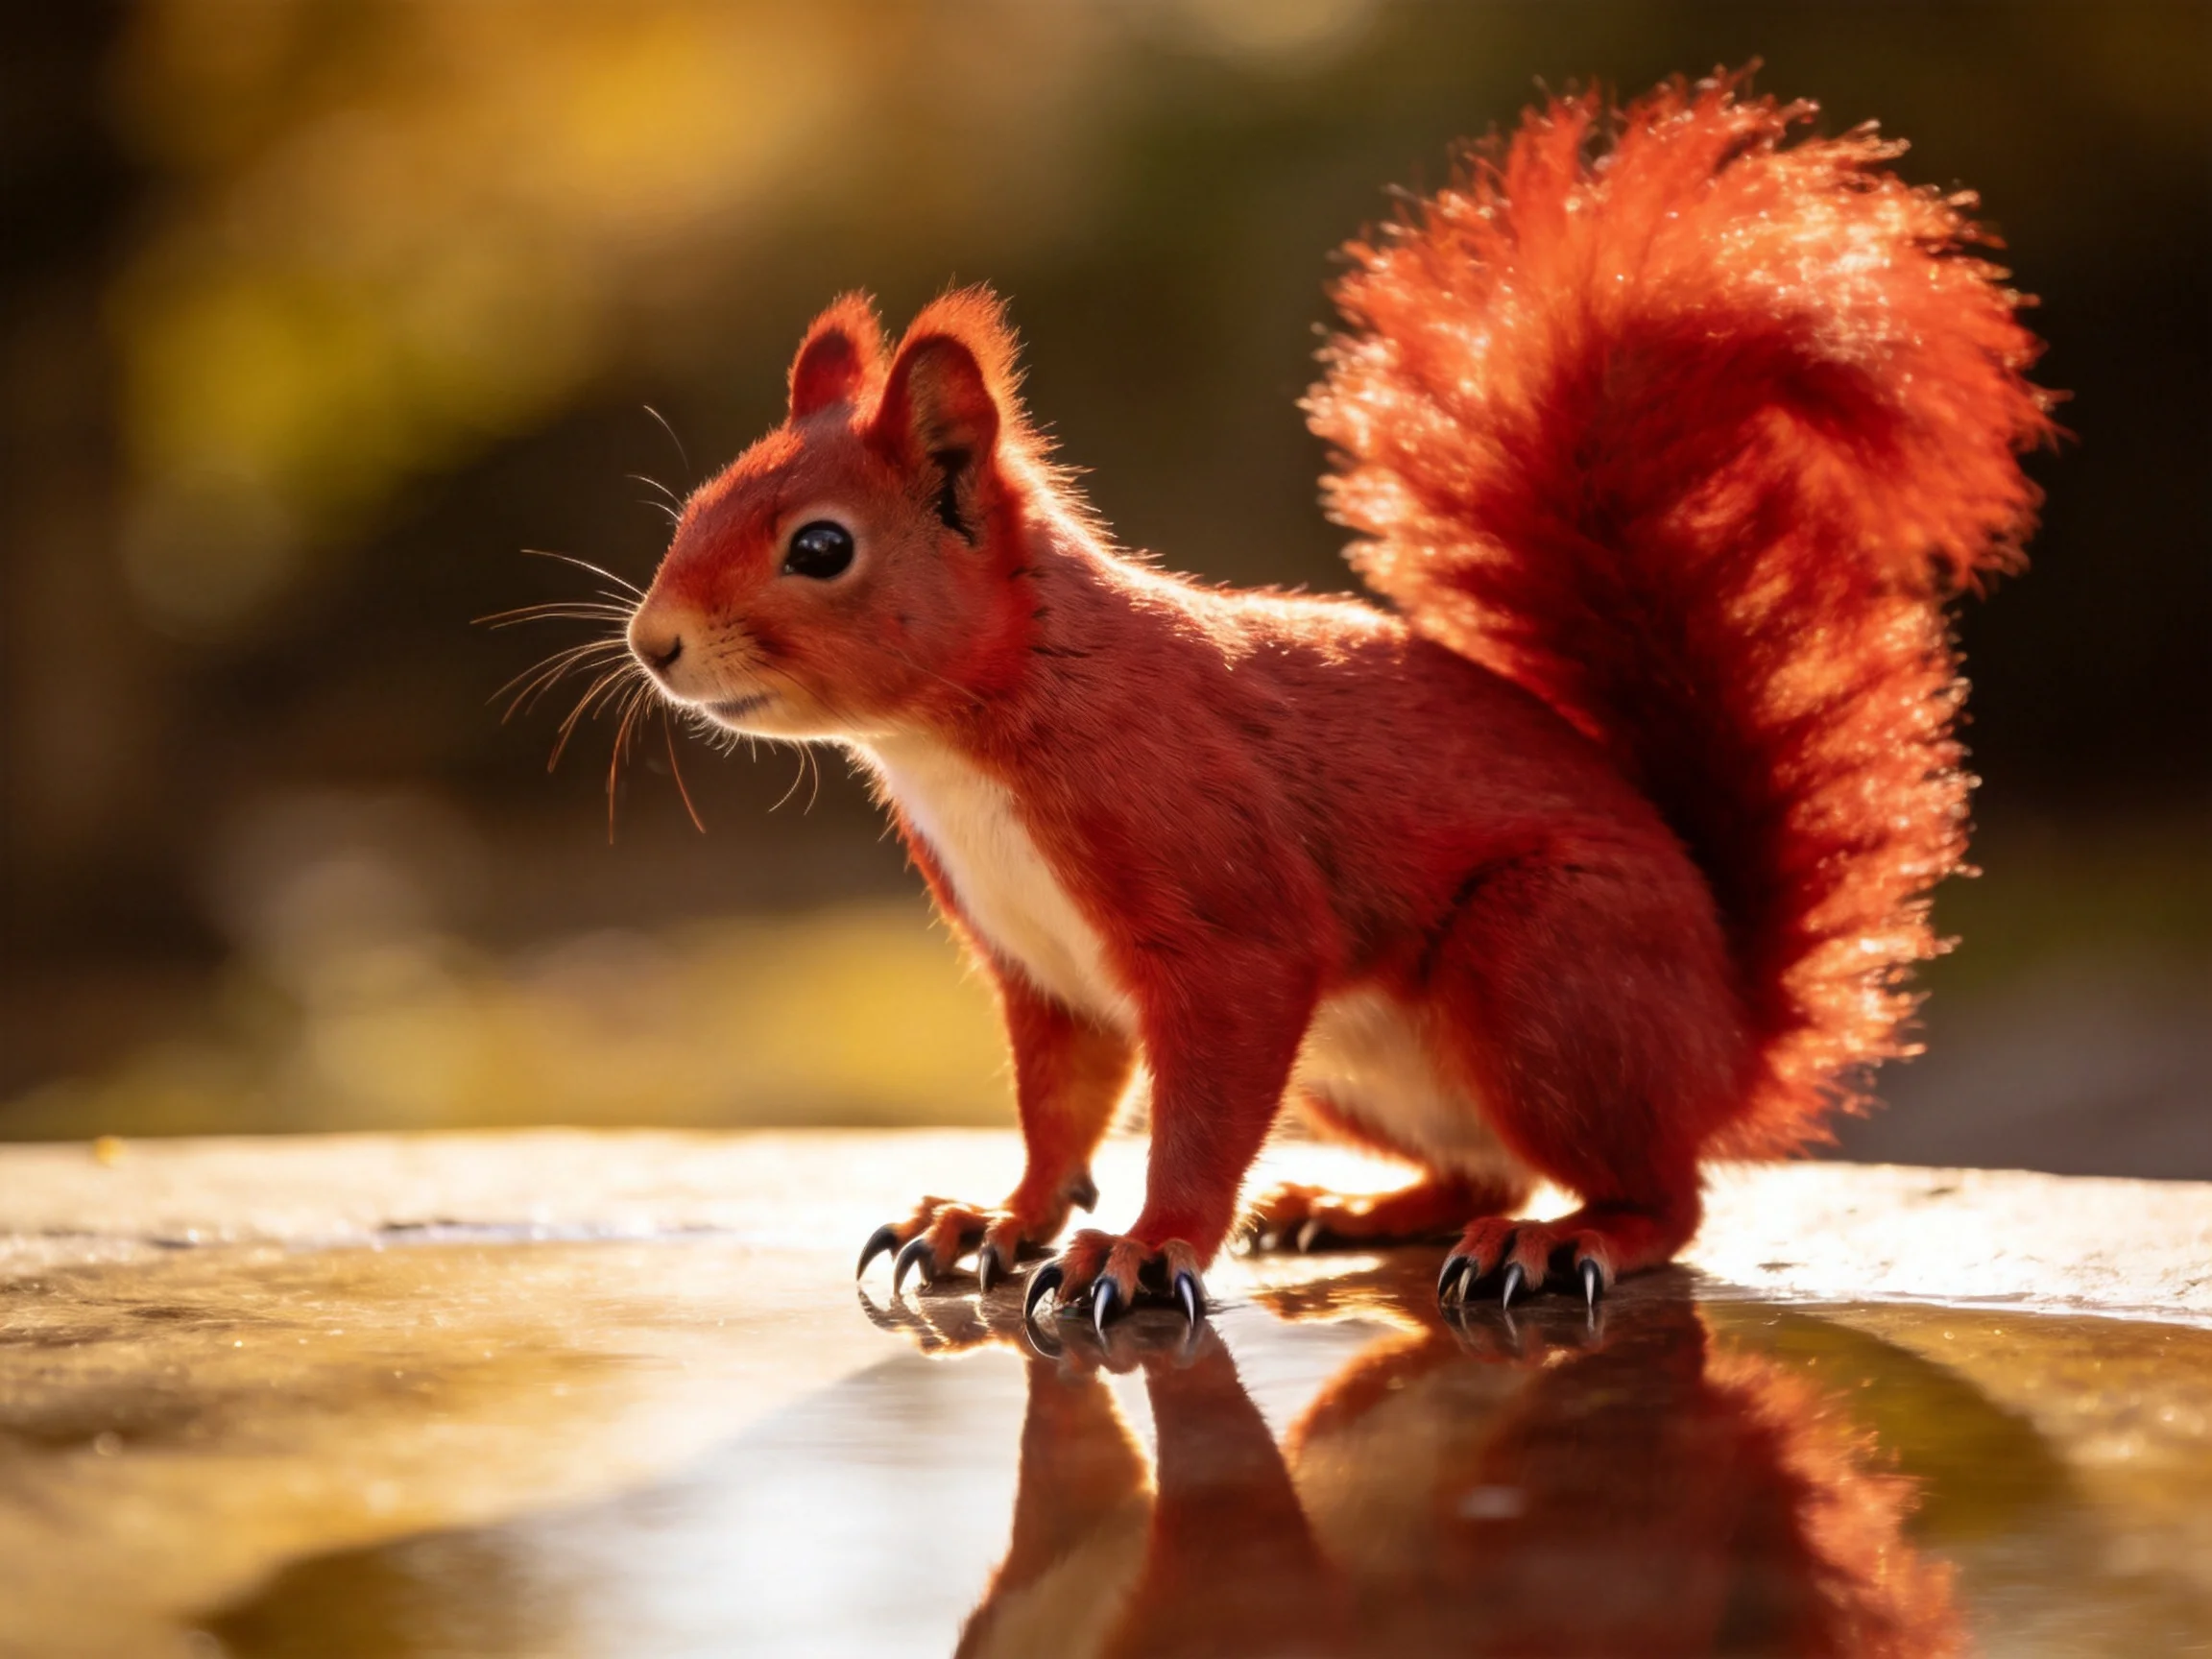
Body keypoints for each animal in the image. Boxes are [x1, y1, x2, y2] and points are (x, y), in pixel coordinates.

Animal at [623, 71, 2053, 1323]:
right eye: (693, 509)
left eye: (820, 548)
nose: (654, 644)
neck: (969, 740)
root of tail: (1730, 1036)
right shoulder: (1039, 970)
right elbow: (1058, 1114)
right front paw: (994, 1219)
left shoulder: (1224, 916)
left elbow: (1198, 1112)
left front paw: (1142, 1251)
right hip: (1365, 1069)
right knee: (1477, 1166)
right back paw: (1355, 1210)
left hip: (1545, 961)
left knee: (1661, 1195)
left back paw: (1561, 1241)